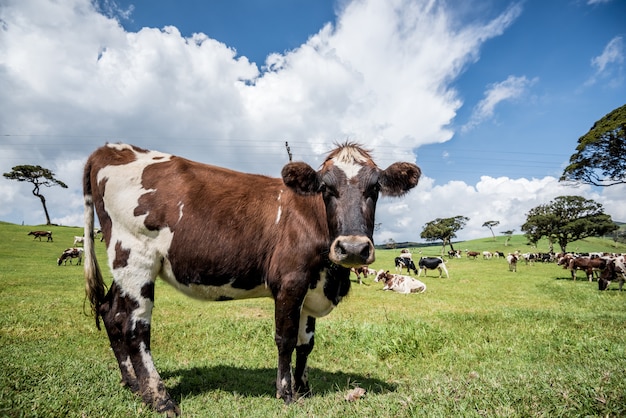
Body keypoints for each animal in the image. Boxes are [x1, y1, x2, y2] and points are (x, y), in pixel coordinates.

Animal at [81, 141, 420, 414]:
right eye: (326, 188)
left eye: (374, 188)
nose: (352, 248)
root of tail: (112, 148)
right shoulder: (290, 282)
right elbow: (285, 339)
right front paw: (285, 393)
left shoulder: (312, 285)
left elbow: (306, 343)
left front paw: (304, 389)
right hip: (135, 256)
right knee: (135, 328)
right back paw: (159, 399)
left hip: (122, 265)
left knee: (111, 312)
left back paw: (131, 382)